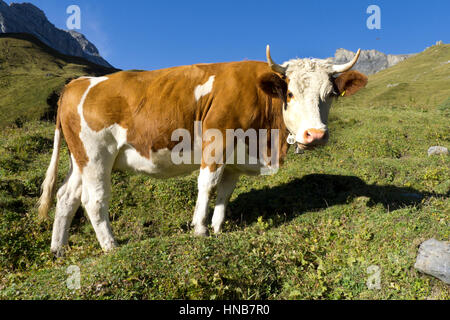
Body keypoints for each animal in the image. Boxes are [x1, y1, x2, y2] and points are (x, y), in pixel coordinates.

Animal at [38, 45, 368, 255]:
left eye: (330, 94)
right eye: (289, 93)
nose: (316, 135)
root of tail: (77, 84)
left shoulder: (236, 157)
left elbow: (225, 192)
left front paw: (219, 228)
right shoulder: (217, 139)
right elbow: (207, 184)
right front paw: (200, 228)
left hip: (79, 159)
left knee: (66, 196)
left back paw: (58, 249)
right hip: (97, 156)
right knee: (93, 201)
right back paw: (111, 247)